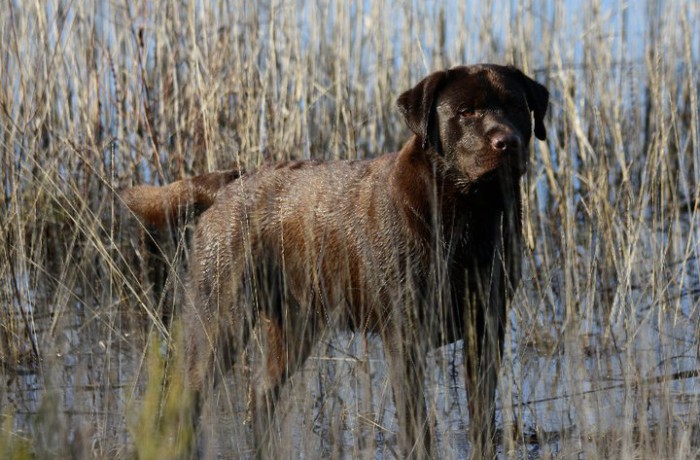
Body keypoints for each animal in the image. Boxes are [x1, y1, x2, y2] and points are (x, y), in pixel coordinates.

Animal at [121, 63, 548, 456]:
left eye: (516, 106)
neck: (467, 213)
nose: (507, 141)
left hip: (295, 325)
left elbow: (482, 414)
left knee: (261, 389)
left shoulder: (487, 326)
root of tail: (231, 182)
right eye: (466, 111)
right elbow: (416, 422)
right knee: (187, 394)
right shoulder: (405, 334)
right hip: (219, 317)